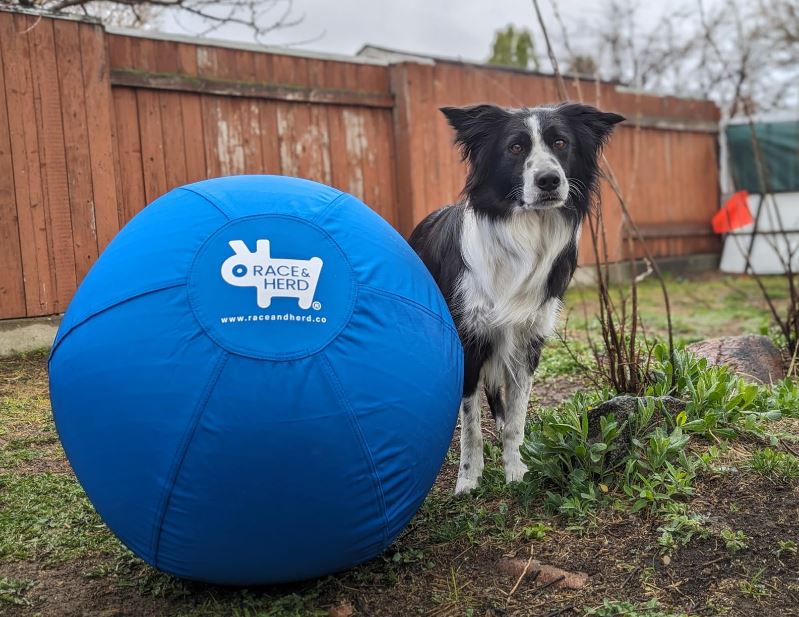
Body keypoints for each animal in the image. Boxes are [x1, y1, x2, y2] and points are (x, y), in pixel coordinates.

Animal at [412, 103, 624, 494]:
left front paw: (516, 470)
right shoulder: (470, 341)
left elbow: (516, 418)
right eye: (515, 147)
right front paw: (469, 479)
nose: (549, 180)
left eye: (561, 143)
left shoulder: (527, 341)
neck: (524, 231)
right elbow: (470, 425)